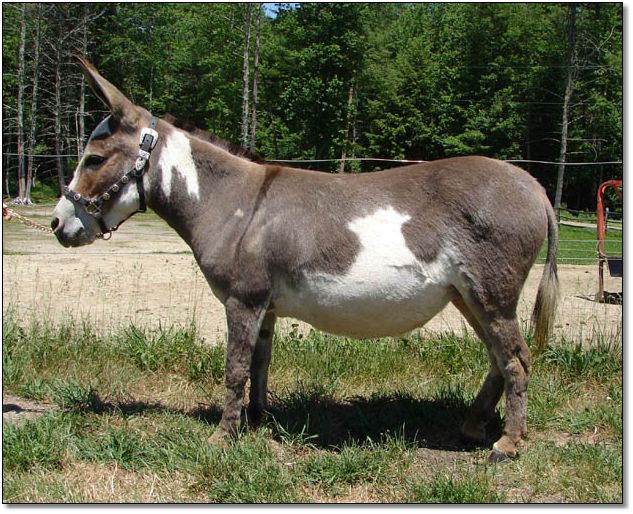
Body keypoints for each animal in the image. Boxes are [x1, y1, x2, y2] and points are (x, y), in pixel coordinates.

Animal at [51, 56, 558, 462]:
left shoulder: (242, 300)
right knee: (500, 358)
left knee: (517, 360)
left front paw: (221, 437)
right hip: (468, 297)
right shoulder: (265, 307)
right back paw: (473, 427)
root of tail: (536, 189)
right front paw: (256, 422)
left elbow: (235, 368)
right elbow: (259, 364)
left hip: (490, 293)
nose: (57, 224)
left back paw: (508, 444)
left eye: (93, 159)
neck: (232, 203)